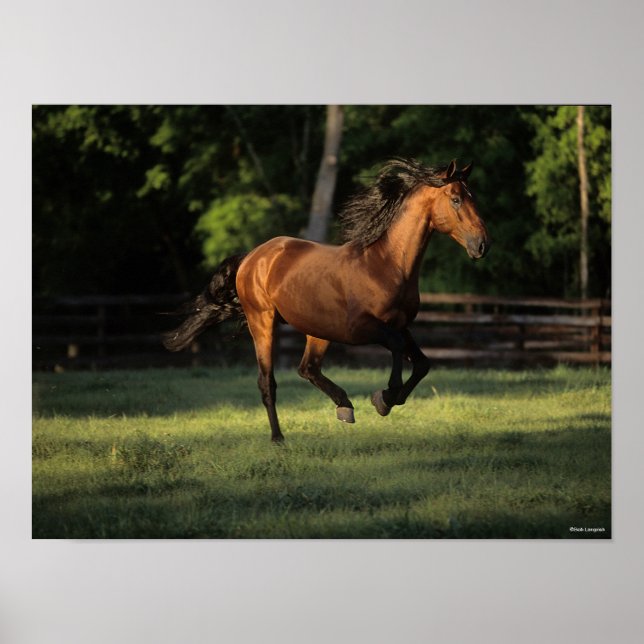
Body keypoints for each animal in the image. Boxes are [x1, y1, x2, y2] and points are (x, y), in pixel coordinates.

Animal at [163, 158, 490, 442]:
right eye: (456, 199)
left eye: (473, 197)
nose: (481, 245)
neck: (386, 265)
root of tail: (252, 256)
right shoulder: (362, 329)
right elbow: (398, 349)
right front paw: (384, 398)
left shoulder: (401, 325)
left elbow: (422, 363)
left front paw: (386, 399)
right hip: (262, 322)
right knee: (267, 381)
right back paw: (278, 438)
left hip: (316, 330)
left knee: (307, 368)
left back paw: (344, 406)